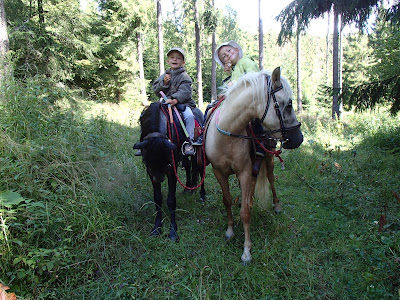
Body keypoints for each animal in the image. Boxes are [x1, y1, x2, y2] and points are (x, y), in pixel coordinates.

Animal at [134, 101, 205, 241]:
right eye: (148, 162)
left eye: (167, 162)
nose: (160, 178)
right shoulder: (151, 172)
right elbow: (157, 198)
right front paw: (157, 228)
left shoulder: (172, 169)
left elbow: (171, 200)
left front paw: (173, 231)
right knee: (188, 166)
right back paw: (187, 188)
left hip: (199, 152)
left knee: (200, 169)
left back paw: (202, 195)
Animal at [205, 67, 302, 262]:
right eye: (288, 104)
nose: (299, 138)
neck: (227, 135)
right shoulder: (219, 172)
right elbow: (227, 201)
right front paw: (230, 231)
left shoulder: (244, 172)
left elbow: (244, 213)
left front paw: (246, 251)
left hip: (269, 160)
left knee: (270, 179)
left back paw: (276, 205)